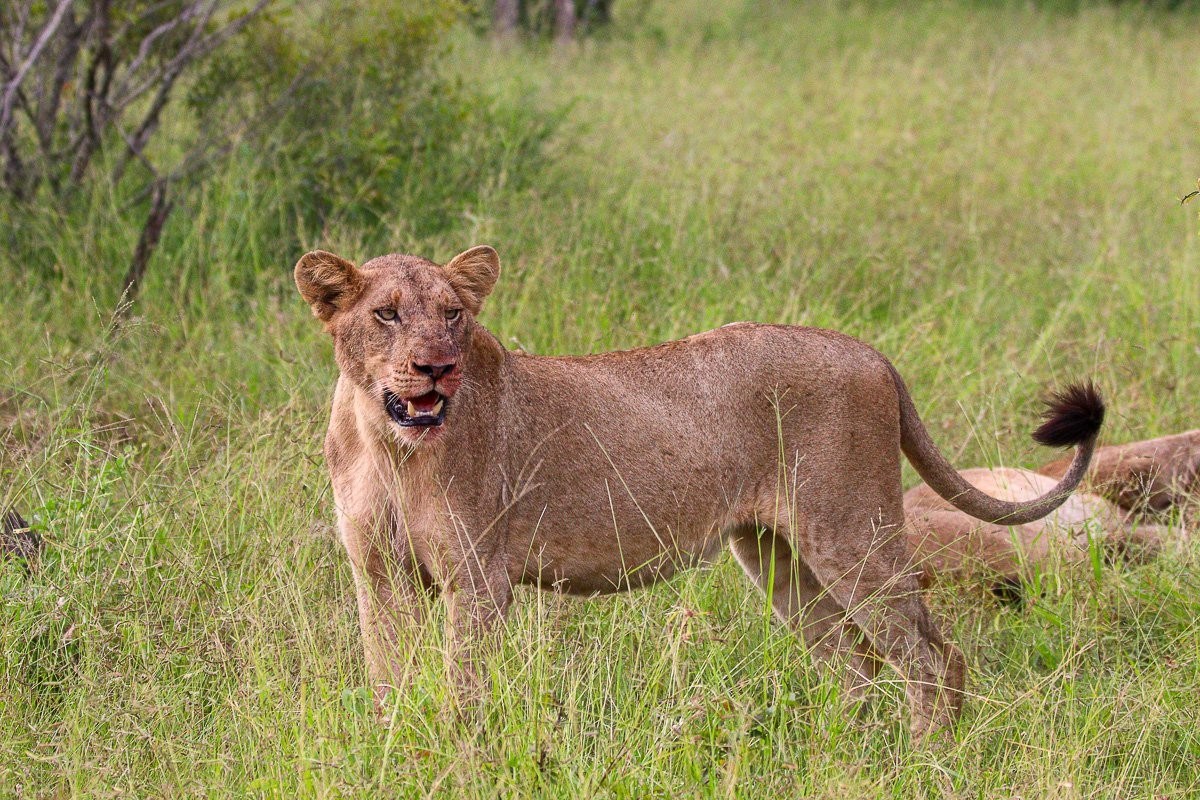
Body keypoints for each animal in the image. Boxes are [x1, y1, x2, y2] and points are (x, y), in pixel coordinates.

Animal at [295, 245, 1104, 738]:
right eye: (386, 313)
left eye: (453, 314)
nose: (436, 368)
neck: (390, 447)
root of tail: (871, 353)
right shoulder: (377, 574)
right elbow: (387, 675)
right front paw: (395, 746)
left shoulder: (478, 576)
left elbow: (463, 686)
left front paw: (461, 755)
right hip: (775, 556)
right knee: (856, 661)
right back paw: (843, 755)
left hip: (851, 532)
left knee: (933, 657)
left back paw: (926, 757)